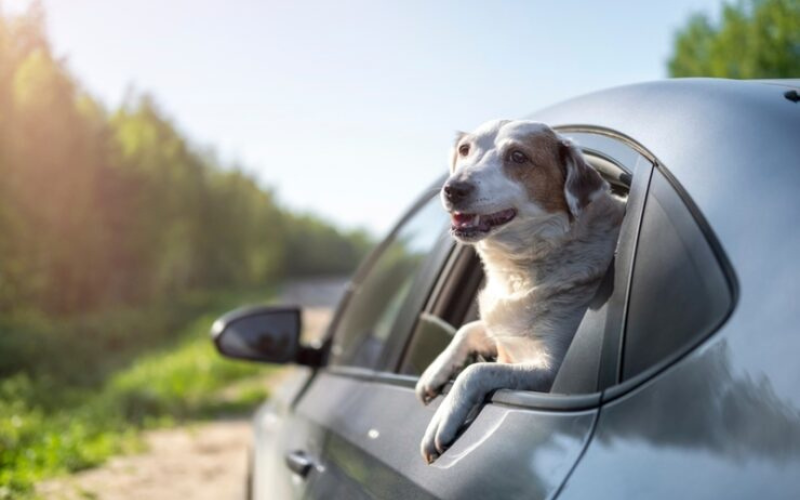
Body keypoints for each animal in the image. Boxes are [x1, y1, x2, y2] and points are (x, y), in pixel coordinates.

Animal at [416, 119, 628, 462]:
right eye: (465, 149)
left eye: (518, 156)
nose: (453, 188)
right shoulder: (503, 330)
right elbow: (468, 329)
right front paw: (434, 372)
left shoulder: (550, 372)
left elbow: (476, 371)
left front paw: (444, 417)